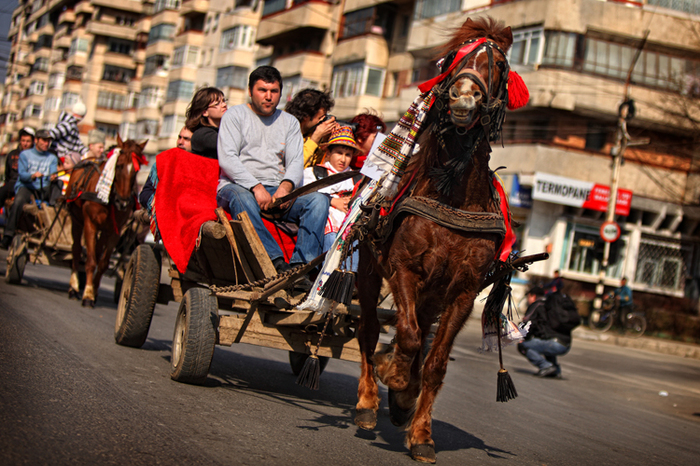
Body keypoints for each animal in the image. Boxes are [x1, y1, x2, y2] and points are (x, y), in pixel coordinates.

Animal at [65, 135, 148, 308]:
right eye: (119, 166)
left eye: (136, 170)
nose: (123, 203)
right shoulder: (90, 224)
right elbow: (90, 261)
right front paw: (87, 295)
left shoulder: (115, 231)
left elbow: (102, 263)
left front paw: (92, 292)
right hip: (77, 221)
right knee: (76, 250)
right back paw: (74, 287)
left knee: (97, 252)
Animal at [356, 17, 520, 462]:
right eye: (453, 60)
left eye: (499, 64)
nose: (464, 98)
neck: (453, 194)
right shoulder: (403, 270)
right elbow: (408, 337)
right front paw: (394, 377)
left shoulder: (463, 290)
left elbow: (436, 362)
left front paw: (420, 431)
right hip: (368, 273)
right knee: (368, 331)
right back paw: (368, 401)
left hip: (433, 292)